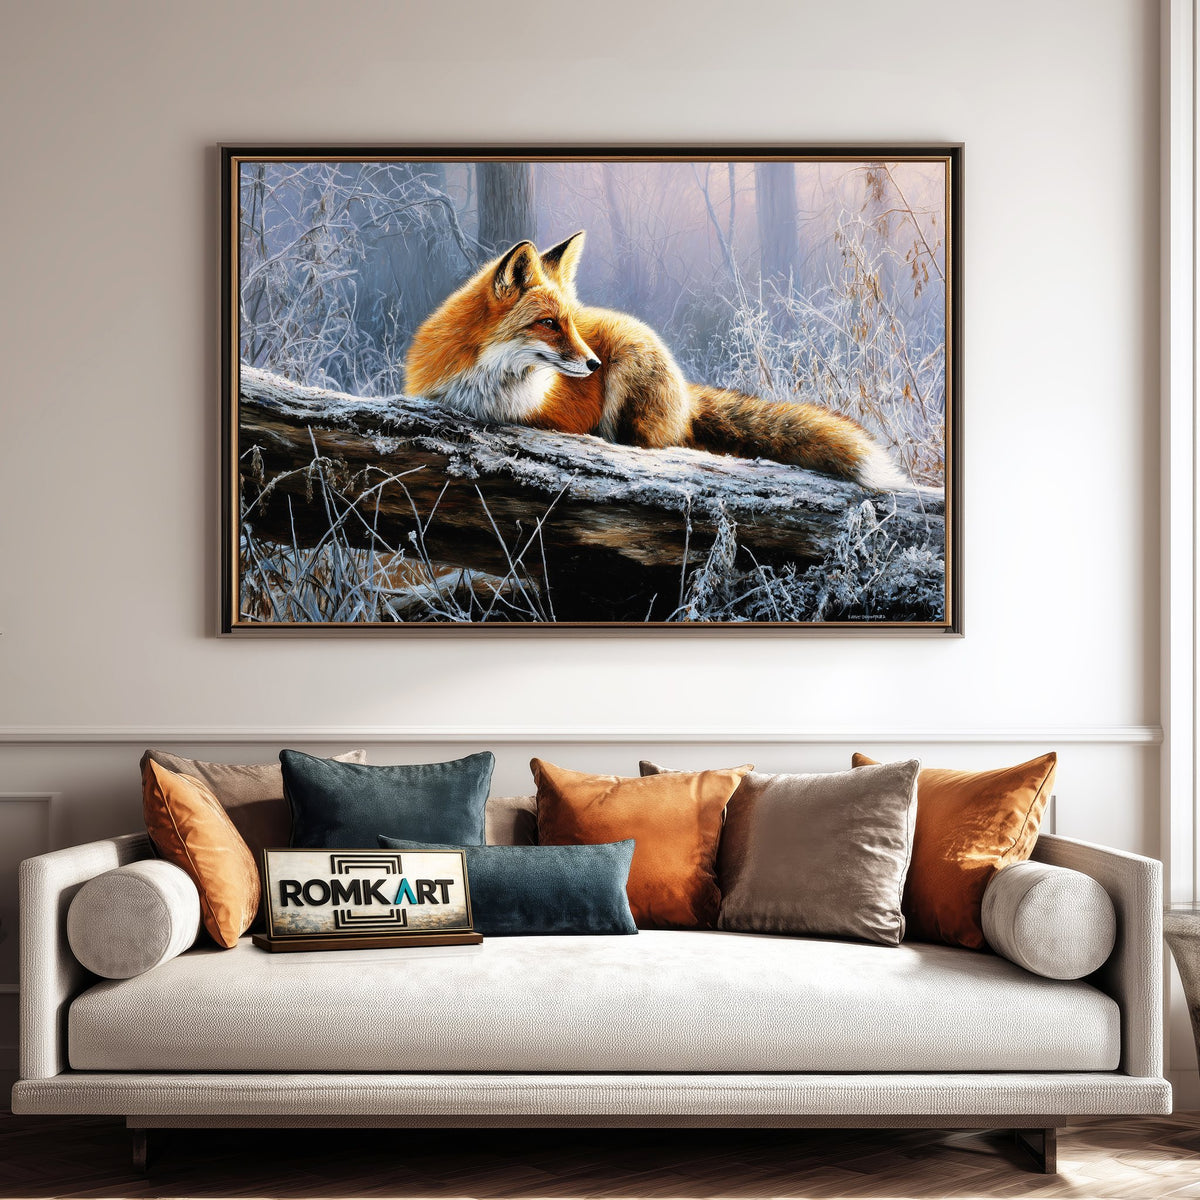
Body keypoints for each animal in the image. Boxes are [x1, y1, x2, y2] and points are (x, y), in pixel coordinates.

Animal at [405, 231, 907, 489]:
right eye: (549, 323)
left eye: (572, 323)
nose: (593, 365)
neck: (483, 385)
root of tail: (685, 393)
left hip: (630, 380)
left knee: (656, 446)